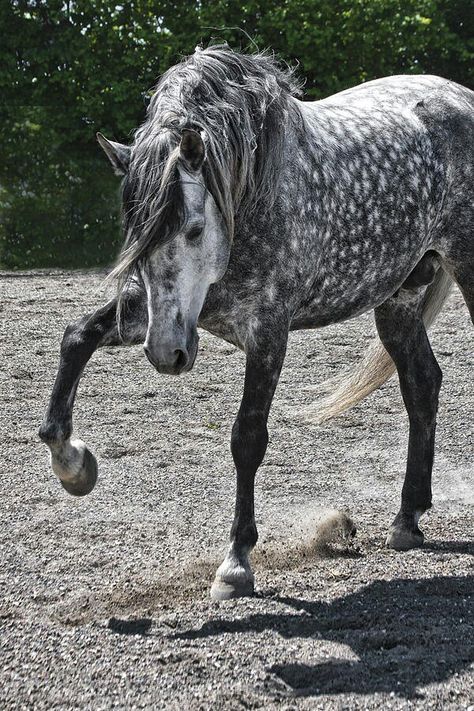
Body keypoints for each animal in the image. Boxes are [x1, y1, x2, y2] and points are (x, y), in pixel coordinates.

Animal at [38, 46, 474, 600]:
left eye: (193, 228)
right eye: (137, 233)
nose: (166, 356)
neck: (247, 198)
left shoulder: (267, 333)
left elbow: (247, 438)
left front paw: (236, 562)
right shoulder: (152, 315)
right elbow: (76, 339)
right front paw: (73, 465)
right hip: (399, 299)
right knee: (422, 386)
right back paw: (407, 519)